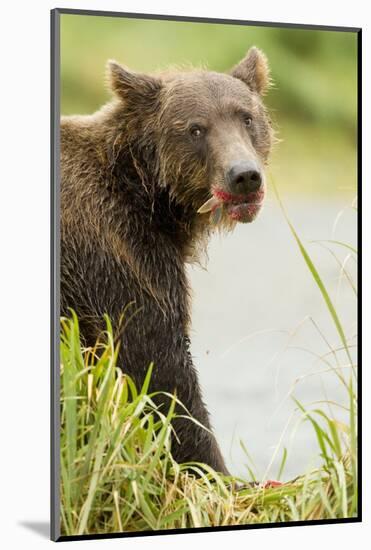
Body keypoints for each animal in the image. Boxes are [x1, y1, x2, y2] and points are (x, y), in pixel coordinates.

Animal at [61, 47, 274, 476]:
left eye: (246, 117)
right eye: (196, 128)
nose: (244, 175)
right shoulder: (118, 255)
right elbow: (157, 366)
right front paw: (220, 472)